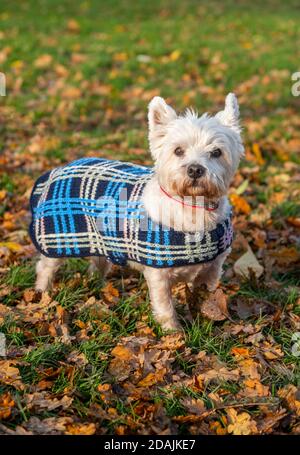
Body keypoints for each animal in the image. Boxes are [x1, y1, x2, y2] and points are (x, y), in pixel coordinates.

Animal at [29, 94, 244, 330]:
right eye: (178, 150)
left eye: (216, 152)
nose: (195, 169)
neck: (193, 208)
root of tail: (58, 169)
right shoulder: (159, 276)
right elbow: (165, 306)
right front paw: (173, 332)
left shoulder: (212, 270)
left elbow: (206, 297)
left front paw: (207, 319)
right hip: (55, 242)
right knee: (45, 267)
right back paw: (42, 293)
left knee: (98, 263)